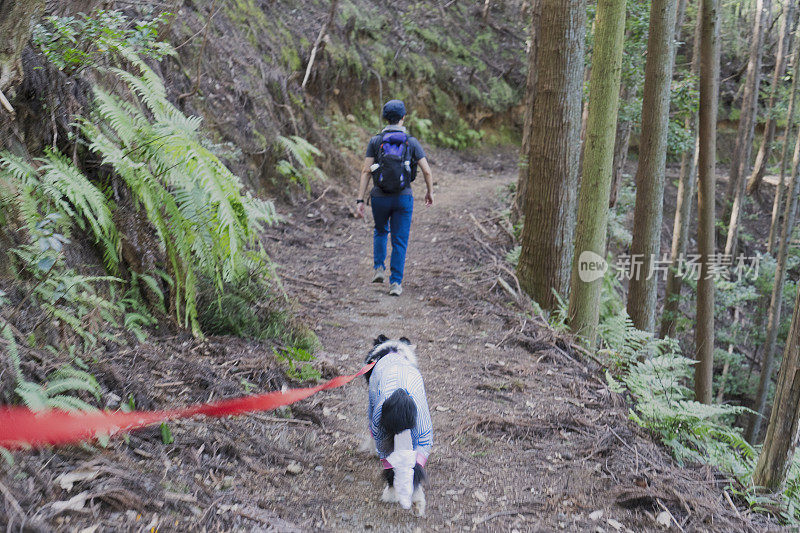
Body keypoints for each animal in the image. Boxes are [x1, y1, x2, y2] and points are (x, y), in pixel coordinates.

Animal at [366, 332, 434, 516]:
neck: (392, 352)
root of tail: (401, 396)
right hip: (423, 438)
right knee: (415, 471)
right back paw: (418, 503)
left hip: (382, 437)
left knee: (391, 471)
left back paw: (390, 496)